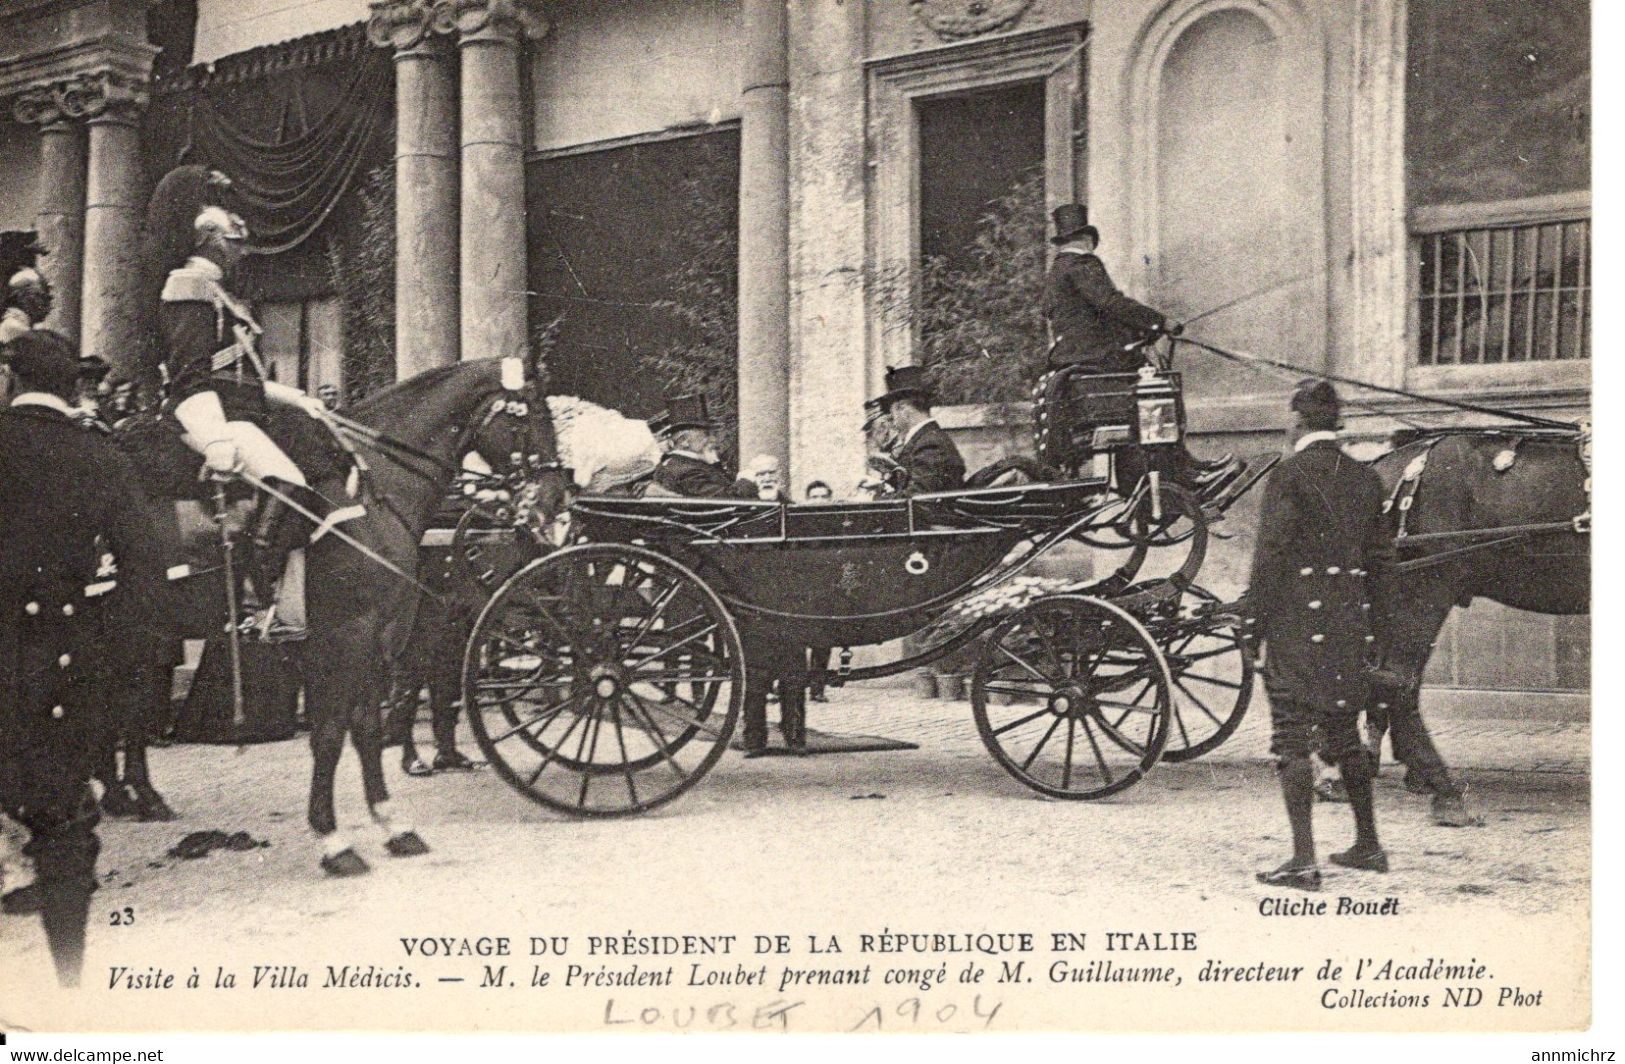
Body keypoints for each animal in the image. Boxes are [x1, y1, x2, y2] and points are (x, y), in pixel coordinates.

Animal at [103, 360, 572, 877]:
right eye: (529, 415)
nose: (555, 501)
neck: (374, 490)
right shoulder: (345, 636)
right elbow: (330, 735)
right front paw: (333, 840)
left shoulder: (376, 636)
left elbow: (365, 729)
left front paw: (392, 825)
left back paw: (133, 797)